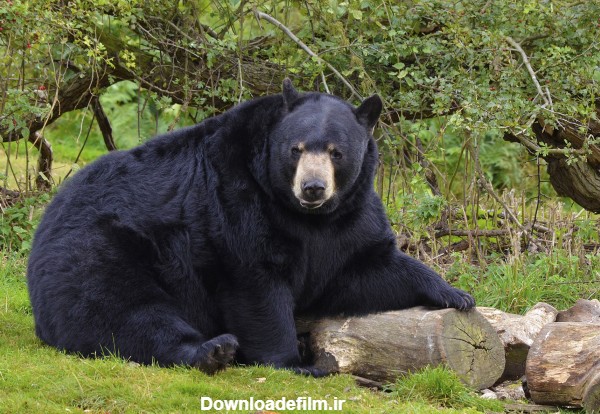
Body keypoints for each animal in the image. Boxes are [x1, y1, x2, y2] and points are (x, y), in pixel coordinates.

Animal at [27, 80, 474, 376]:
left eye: (337, 151)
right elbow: (256, 283)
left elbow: (359, 270)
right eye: (295, 149)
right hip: (100, 249)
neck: (304, 216)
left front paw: (455, 294)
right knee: (123, 308)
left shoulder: (347, 220)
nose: (313, 187)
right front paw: (294, 362)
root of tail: (45, 223)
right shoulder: (236, 199)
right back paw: (212, 350)